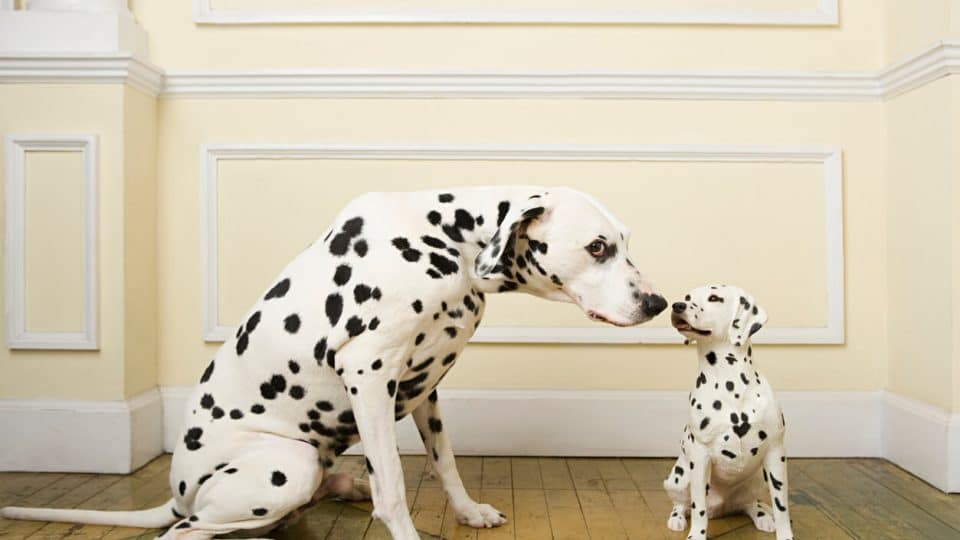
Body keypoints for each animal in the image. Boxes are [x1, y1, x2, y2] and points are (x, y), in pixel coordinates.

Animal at [3, 187, 668, 540]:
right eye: (598, 248)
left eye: (626, 243)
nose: (657, 303)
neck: (446, 240)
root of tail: (177, 493)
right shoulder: (370, 376)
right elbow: (394, 486)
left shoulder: (425, 390)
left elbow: (446, 464)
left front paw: (468, 511)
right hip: (286, 465)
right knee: (185, 533)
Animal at [664, 284, 792, 540]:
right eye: (687, 297)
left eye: (714, 298)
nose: (678, 305)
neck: (730, 381)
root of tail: (721, 507)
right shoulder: (700, 457)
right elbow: (698, 507)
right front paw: (696, 535)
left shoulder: (776, 452)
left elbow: (781, 505)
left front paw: (785, 534)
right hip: (678, 478)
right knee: (682, 503)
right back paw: (677, 519)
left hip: (758, 478)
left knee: (750, 504)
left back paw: (763, 516)